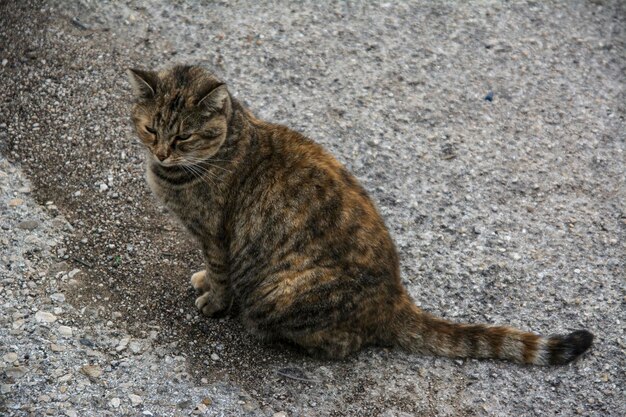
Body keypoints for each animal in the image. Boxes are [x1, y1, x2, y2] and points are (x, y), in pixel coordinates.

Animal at [127, 65, 588, 364]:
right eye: (151, 129)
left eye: (184, 136)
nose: (161, 152)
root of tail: (396, 298)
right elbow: (211, 271)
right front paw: (204, 281)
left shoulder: (216, 237)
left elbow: (221, 276)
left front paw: (215, 300)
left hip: (279, 291)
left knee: (342, 344)